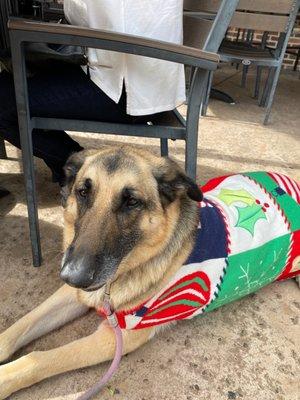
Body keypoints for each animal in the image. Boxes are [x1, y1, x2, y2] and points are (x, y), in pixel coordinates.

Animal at [0, 145, 204, 396]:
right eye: (82, 192)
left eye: (131, 201)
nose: (72, 276)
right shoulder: (74, 294)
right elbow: (22, 325)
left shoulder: (116, 337)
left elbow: (39, 359)